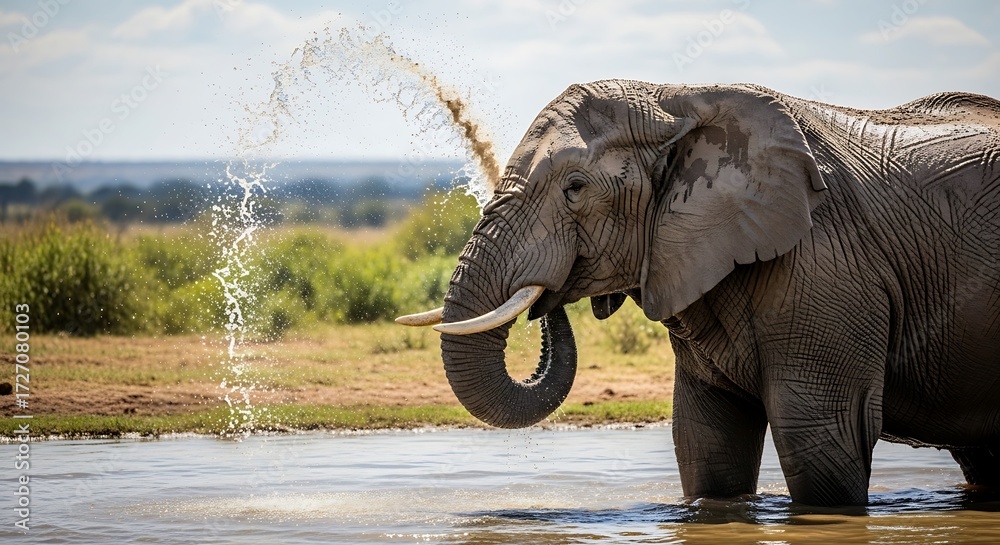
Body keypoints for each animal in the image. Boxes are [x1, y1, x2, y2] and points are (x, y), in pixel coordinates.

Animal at [398, 80, 1000, 507]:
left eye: (575, 188)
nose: (550, 302)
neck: (676, 99)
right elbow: (706, 440)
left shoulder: (829, 264)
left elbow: (822, 435)